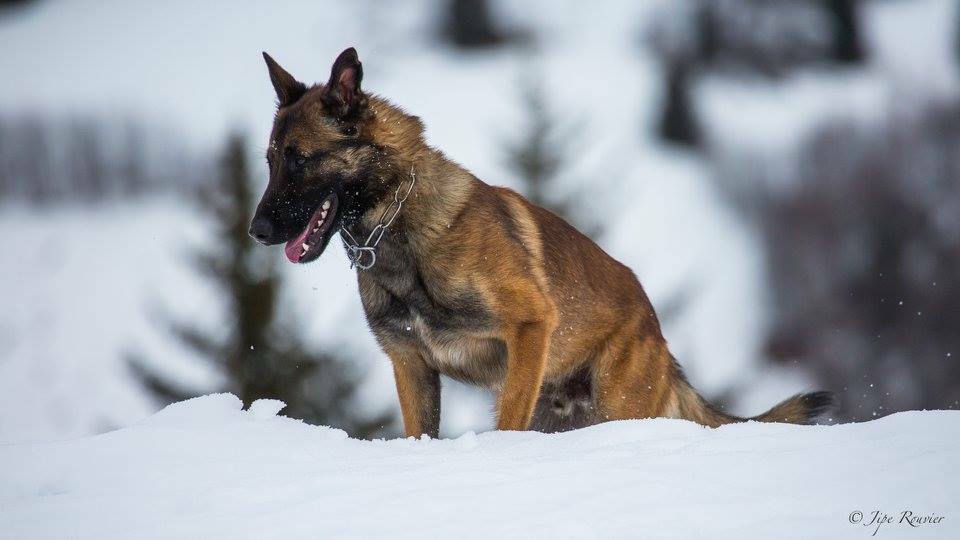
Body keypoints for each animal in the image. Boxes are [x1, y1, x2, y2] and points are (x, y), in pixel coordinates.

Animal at [251, 47, 836, 438]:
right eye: (270, 160)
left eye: (299, 159)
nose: (256, 231)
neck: (400, 225)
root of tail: (660, 337)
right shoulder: (412, 366)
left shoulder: (530, 325)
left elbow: (507, 424)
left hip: (617, 403)